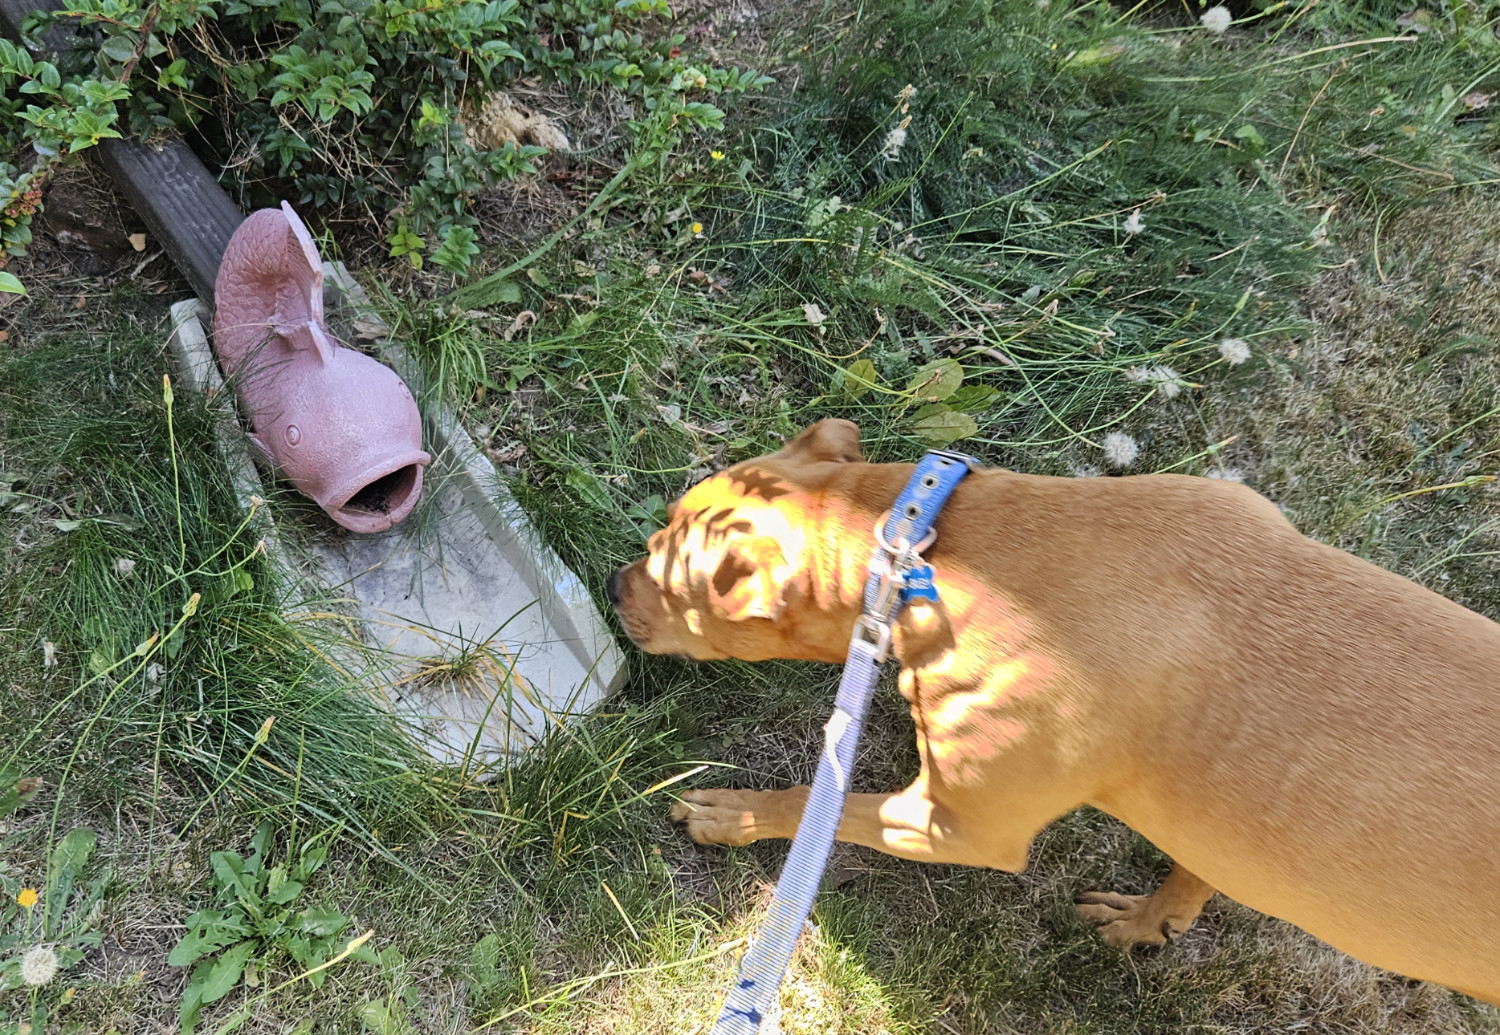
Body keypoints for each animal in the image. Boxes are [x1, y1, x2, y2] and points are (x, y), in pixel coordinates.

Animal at [606, 417, 1500, 1002]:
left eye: (665, 571)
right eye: (657, 531)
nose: (613, 584)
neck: (930, 547)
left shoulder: (953, 825)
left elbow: (806, 800)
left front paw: (732, 812)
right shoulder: (1225, 823)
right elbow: (1202, 862)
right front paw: (1156, 918)